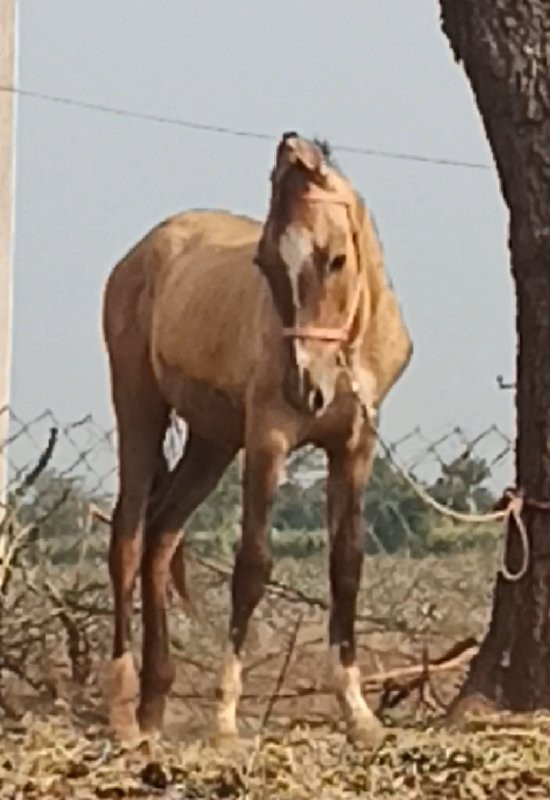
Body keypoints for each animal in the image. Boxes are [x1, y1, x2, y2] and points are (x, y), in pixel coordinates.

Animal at [102, 133, 414, 752]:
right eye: (266, 264)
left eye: (336, 259)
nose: (305, 389)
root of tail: (140, 252)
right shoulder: (268, 442)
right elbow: (252, 566)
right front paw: (224, 718)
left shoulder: (354, 448)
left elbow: (347, 564)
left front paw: (358, 712)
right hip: (139, 405)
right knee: (127, 535)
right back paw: (125, 709)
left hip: (211, 442)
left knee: (162, 534)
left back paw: (155, 700)